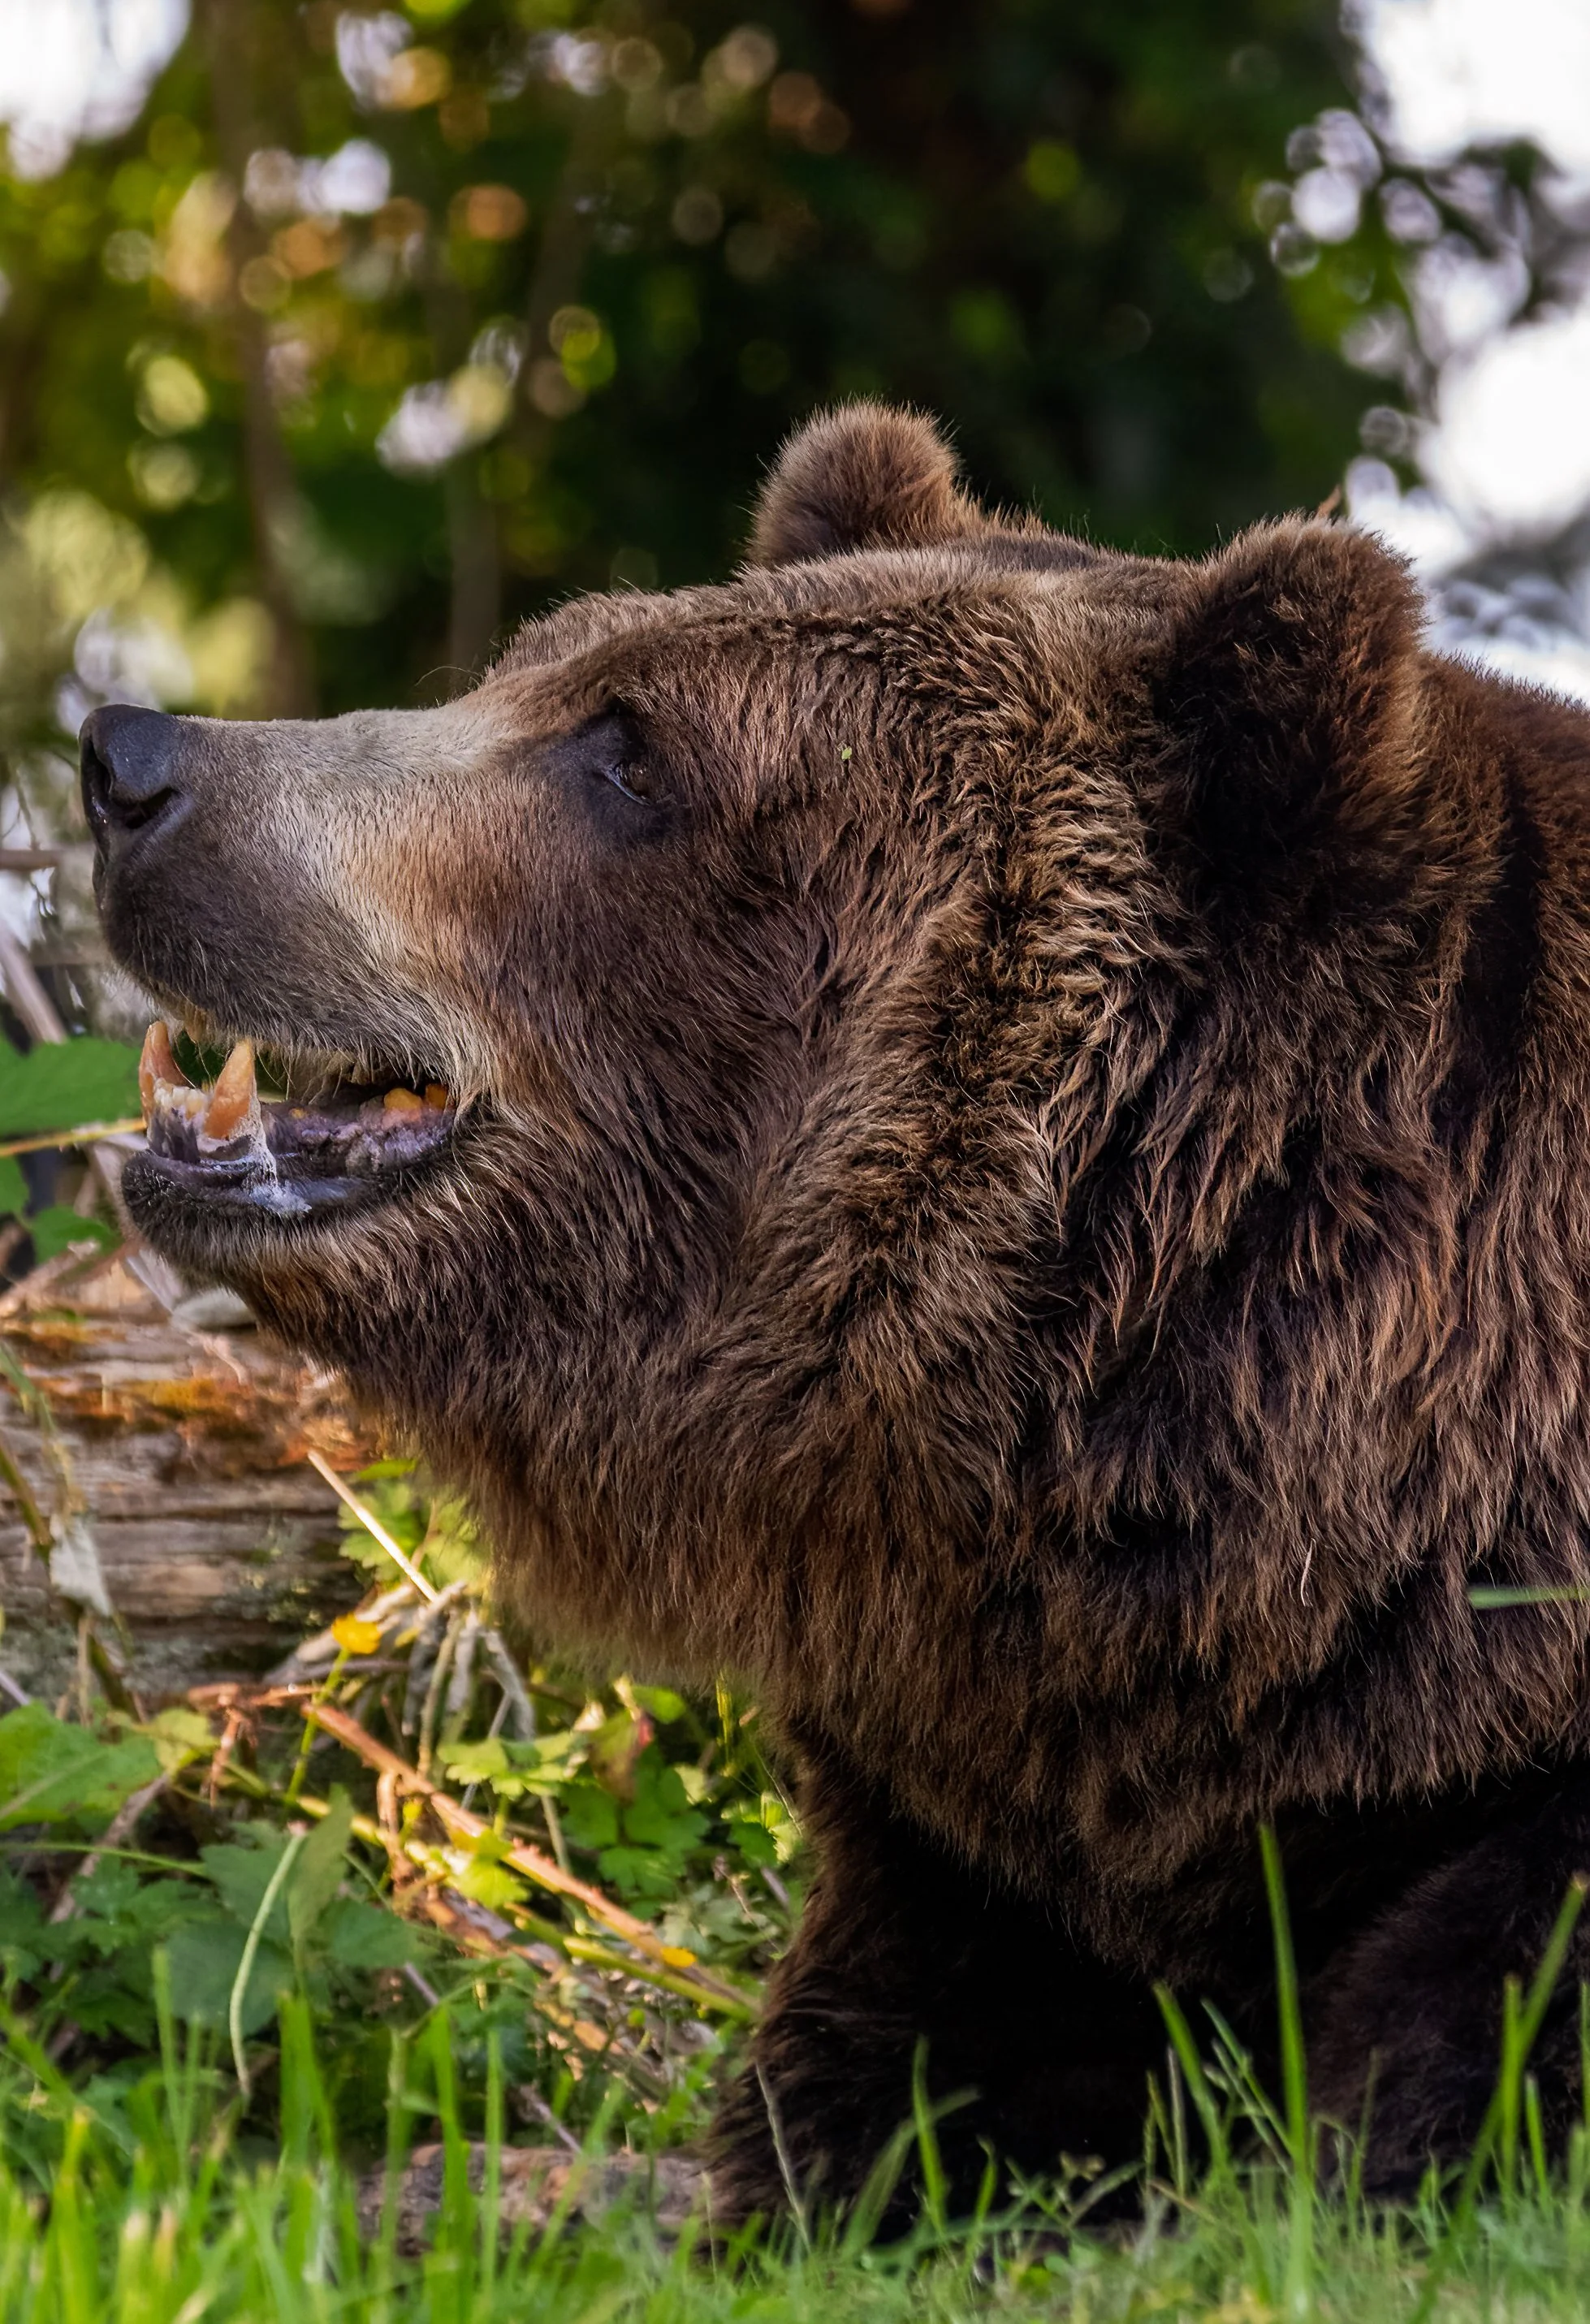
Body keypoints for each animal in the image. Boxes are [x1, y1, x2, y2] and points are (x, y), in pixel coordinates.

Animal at [80, 403, 1590, 2216]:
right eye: (533, 669)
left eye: (629, 754)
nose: (129, 762)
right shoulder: (994, 1845)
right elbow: (865, 2122)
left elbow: (1462, 2042)